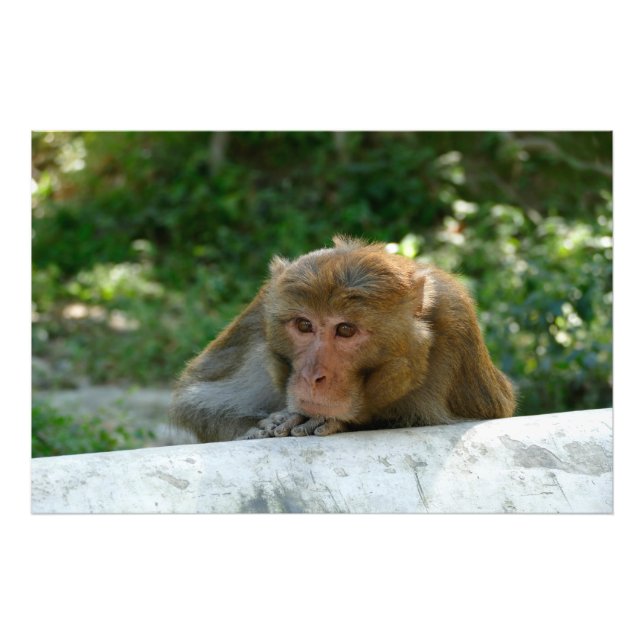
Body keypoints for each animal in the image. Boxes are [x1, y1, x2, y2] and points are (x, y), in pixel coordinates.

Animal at [170, 236, 516, 442]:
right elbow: (196, 401)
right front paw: (261, 426)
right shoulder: (260, 316)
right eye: (304, 325)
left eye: (346, 330)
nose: (312, 376)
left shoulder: (455, 320)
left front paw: (341, 422)